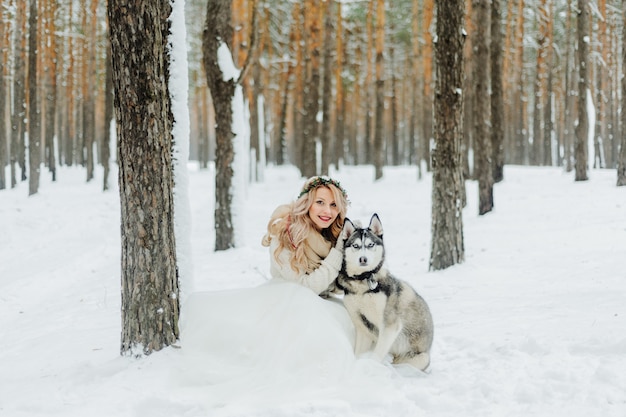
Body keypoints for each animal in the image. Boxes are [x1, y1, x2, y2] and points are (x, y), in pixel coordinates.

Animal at [334, 213, 432, 368]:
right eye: (356, 246)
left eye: (370, 245)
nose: (363, 259)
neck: (363, 286)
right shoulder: (362, 326)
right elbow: (358, 353)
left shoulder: (390, 326)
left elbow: (376, 356)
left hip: (422, 358)